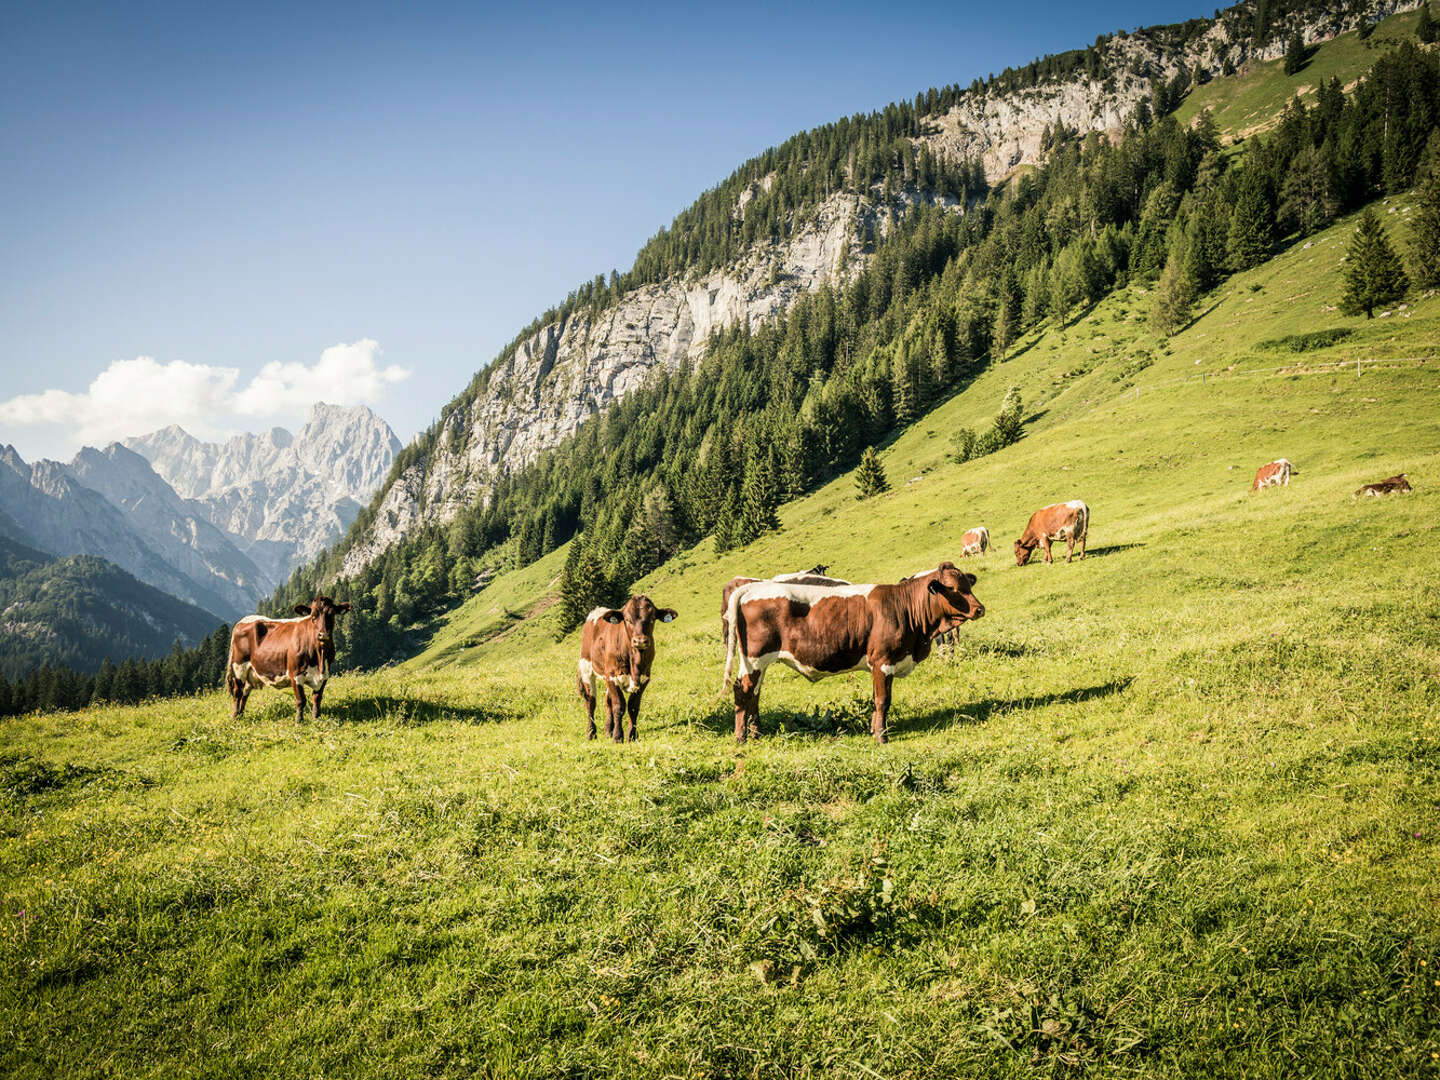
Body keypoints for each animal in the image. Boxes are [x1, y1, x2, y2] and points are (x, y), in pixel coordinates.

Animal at [576, 601, 676, 743]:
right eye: (627, 619)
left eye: (652, 618)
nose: (640, 641)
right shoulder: (612, 677)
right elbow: (619, 706)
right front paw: (618, 737)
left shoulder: (644, 678)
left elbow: (633, 707)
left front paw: (631, 735)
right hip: (586, 668)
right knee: (591, 702)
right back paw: (591, 733)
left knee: (608, 702)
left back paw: (608, 730)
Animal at [725, 567, 984, 743]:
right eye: (953, 589)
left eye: (968, 586)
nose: (979, 609)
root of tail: (753, 588)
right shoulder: (883, 661)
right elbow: (883, 701)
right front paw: (881, 737)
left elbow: (876, 699)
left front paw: (874, 730)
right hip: (755, 658)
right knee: (742, 691)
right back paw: (741, 736)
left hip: (759, 662)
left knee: (754, 694)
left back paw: (756, 732)